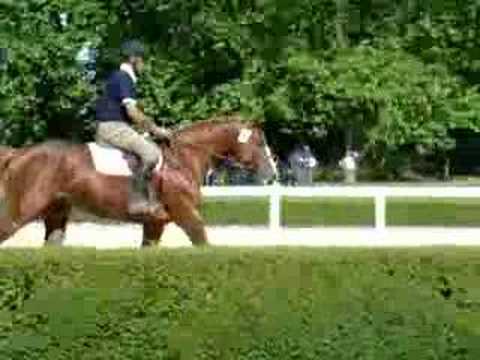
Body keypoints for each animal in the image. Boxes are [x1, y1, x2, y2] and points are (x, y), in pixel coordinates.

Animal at [0, 114, 278, 248]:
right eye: (259, 142)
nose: (273, 175)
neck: (182, 158)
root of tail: (19, 153)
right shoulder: (186, 214)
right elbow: (203, 243)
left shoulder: (155, 224)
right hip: (20, 213)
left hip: (56, 213)